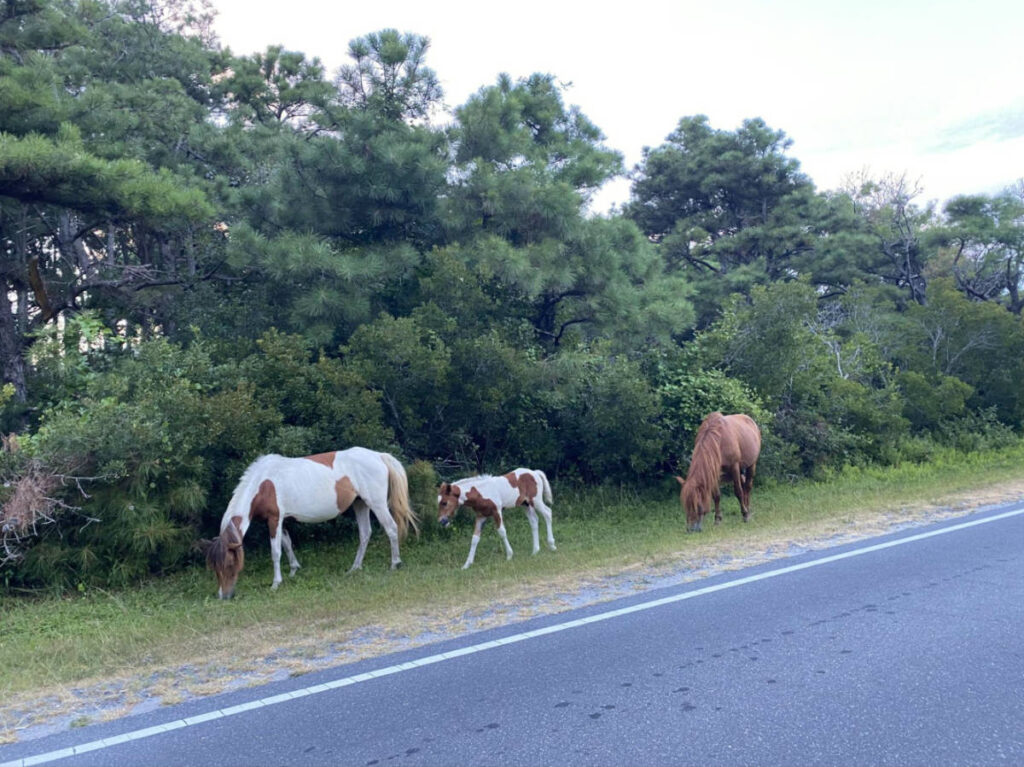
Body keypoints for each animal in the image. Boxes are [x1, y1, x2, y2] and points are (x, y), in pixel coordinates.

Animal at [199, 447, 418, 599]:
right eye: (214, 567)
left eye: (229, 564)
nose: (224, 595)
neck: (263, 484)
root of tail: (379, 456)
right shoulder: (281, 520)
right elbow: (287, 544)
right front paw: (294, 570)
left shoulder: (274, 519)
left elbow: (276, 551)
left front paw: (276, 583)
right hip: (360, 504)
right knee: (365, 534)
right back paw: (354, 568)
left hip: (376, 503)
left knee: (391, 528)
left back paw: (395, 564)